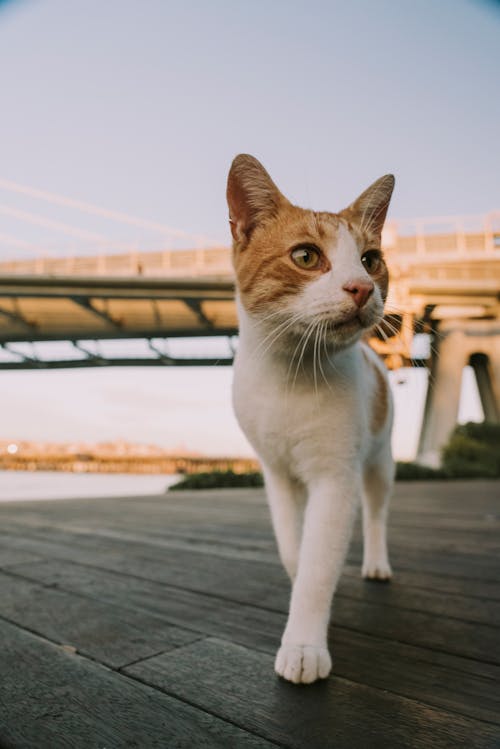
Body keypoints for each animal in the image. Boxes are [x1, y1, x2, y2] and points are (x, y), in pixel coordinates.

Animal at [227, 156, 394, 684]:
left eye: (370, 260)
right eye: (306, 256)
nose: (362, 287)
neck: (292, 378)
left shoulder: (334, 479)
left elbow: (320, 565)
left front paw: (303, 643)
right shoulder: (277, 475)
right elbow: (294, 549)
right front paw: (301, 581)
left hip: (379, 461)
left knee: (376, 512)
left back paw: (377, 562)